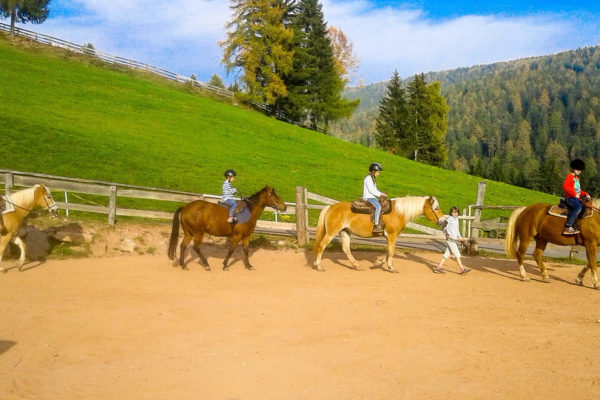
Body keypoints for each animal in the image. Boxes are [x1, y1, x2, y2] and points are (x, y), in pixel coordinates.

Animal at [314, 196, 446, 274]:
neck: (399, 212)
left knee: (346, 249)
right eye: (436, 208)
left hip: (345, 232)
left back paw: (356, 265)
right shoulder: (392, 235)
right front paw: (391, 267)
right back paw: (319, 266)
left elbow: (388, 251)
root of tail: (331, 207)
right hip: (331, 233)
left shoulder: (389, 237)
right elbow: (392, 251)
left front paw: (379, 262)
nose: (445, 221)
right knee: (322, 246)